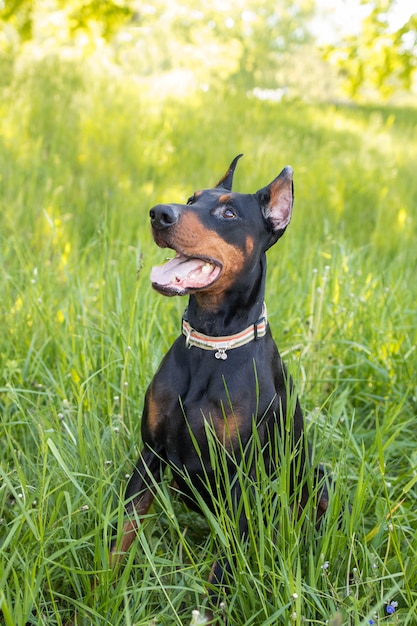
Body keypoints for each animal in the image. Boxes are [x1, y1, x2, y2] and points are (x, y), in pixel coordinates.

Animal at [109, 155, 328, 616]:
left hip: (316, 476)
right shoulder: (151, 454)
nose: (159, 213)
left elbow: (223, 567)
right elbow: (122, 535)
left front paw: (206, 614)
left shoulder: (241, 478)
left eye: (229, 214)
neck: (213, 346)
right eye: (191, 198)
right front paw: (102, 590)